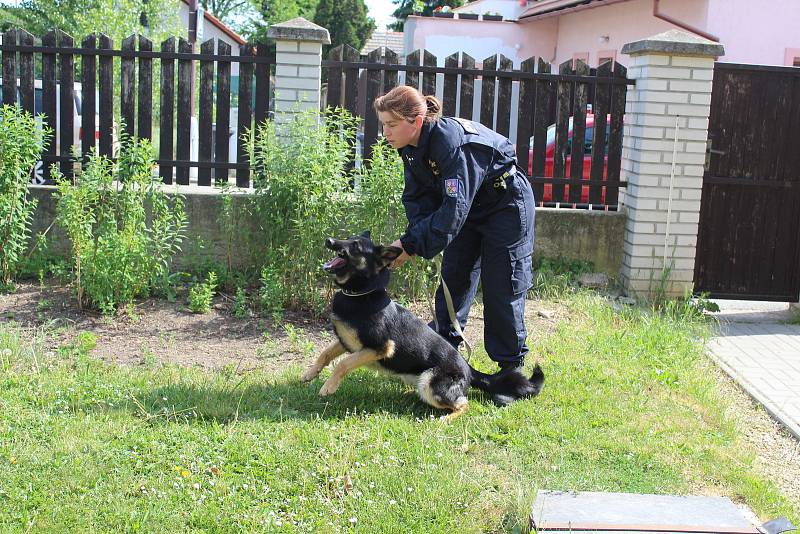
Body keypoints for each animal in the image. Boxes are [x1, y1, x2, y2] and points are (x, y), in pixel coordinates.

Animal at [302, 232, 544, 420]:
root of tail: (469, 370)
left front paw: (328, 386)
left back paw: (446, 419)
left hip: (431, 383)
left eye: (355, 246)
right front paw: (310, 373)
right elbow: (325, 354)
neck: (360, 293)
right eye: (347, 239)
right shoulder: (346, 341)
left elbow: (343, 364)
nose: (329, 240)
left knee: (464, 403)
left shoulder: (380, 347)